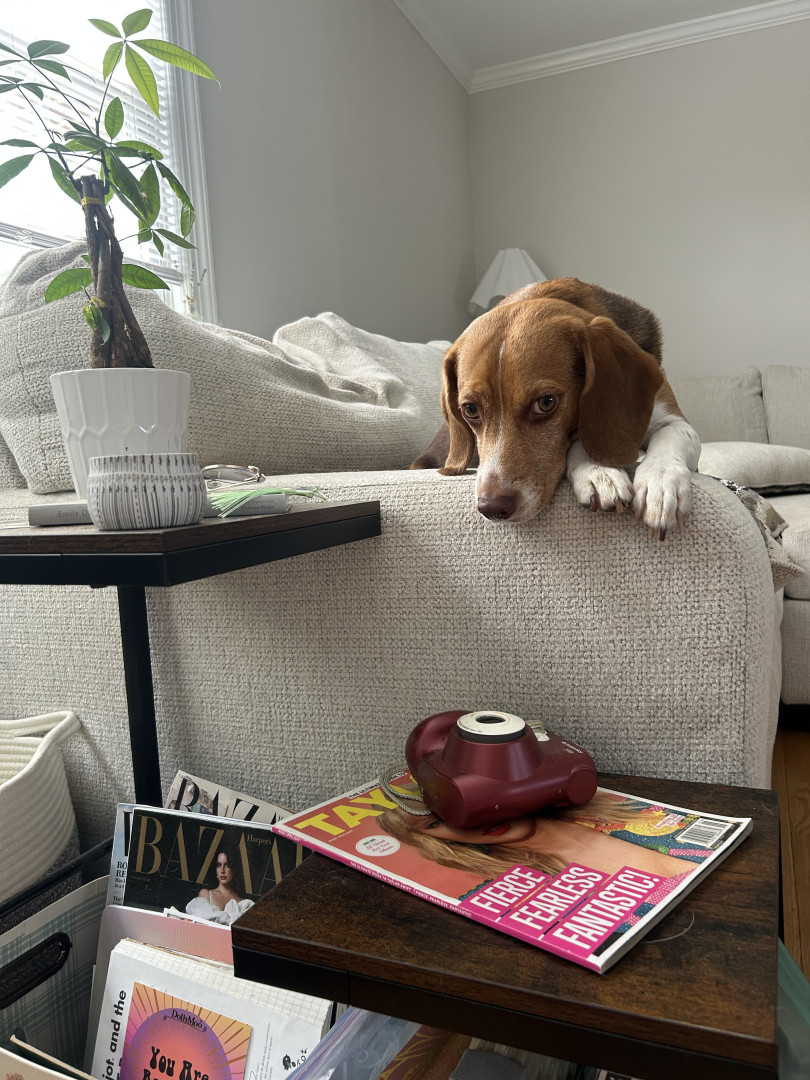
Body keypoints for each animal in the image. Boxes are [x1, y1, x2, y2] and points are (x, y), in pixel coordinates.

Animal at [410, 278, 700, 540]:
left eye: (546, 403)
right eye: (470, 409)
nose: (491, 508)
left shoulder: (675, 421)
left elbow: (671, 434)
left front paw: (661, 484)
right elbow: (579, 441)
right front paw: (597, 471)